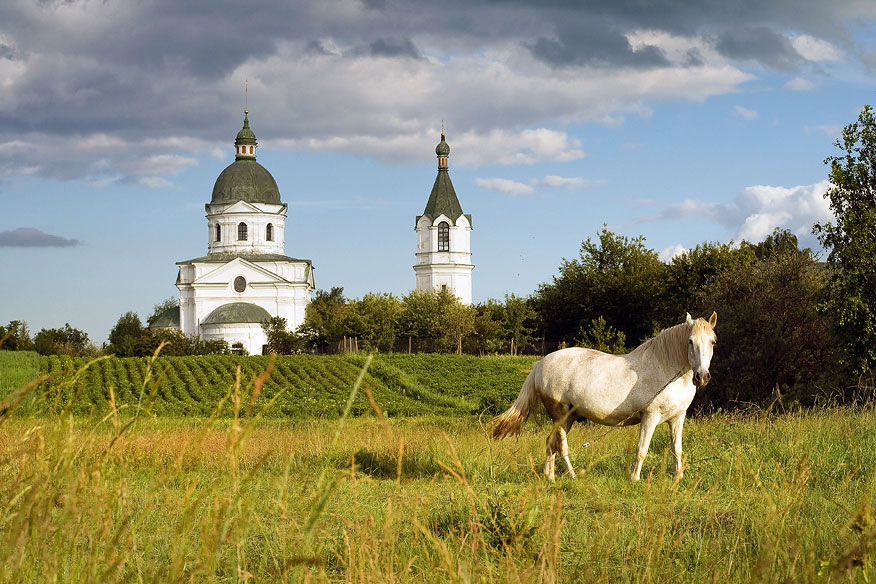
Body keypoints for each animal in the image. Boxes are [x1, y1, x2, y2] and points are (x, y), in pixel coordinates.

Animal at [492, 312, 720, 482]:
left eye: (713, 342)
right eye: (690, 341)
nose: (702, 376)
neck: (667, 369)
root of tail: (540, 364)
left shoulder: (677, 418)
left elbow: (676, 449)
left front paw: (677, 478)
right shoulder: (650, 417)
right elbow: (642, 449)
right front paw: (634, 479)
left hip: (568, 418)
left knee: (550, 442)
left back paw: (550, 478)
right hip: (561, 416)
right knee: (561, 445)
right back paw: (572, 476)